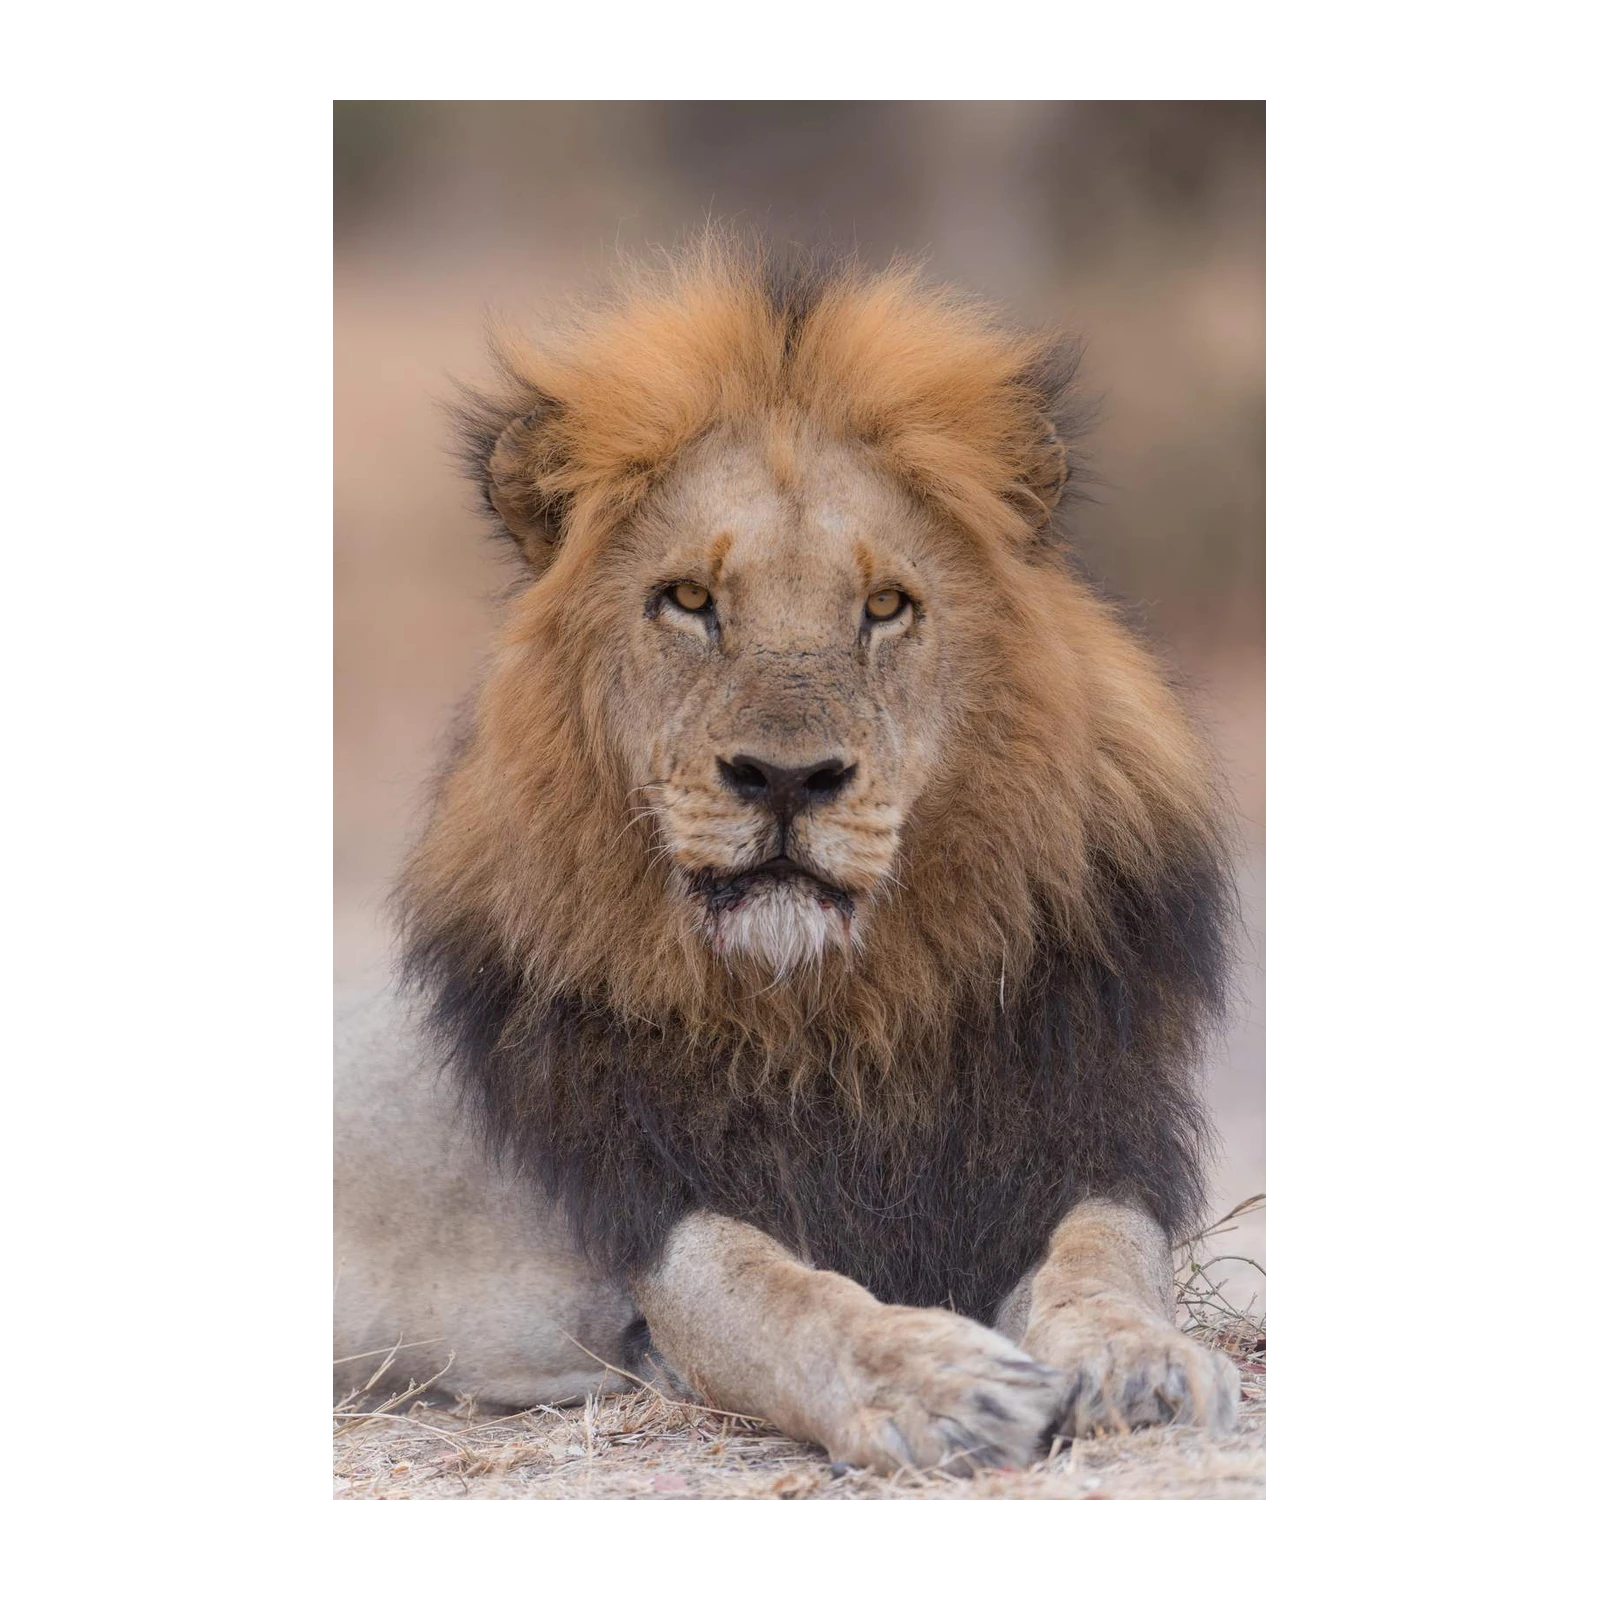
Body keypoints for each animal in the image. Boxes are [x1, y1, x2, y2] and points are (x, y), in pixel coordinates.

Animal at [329, 234, 1242, 1472]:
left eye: (886, 606)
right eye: (688, 599)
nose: (785, 779)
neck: (841, 1015)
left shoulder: (1081, 1139)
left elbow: (1102, 1258)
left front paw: (1143, 1364)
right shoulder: (649, 1213)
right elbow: (781, 1296)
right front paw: (937, 1380)